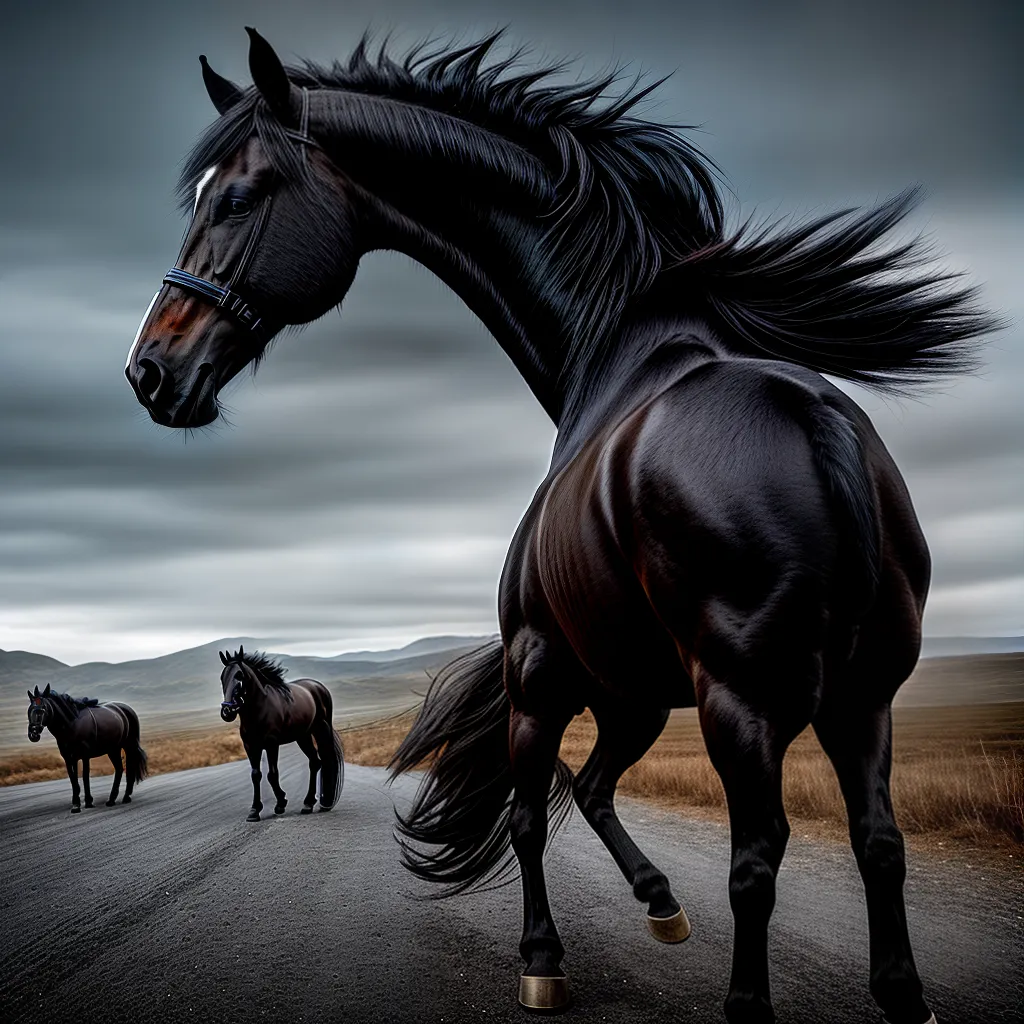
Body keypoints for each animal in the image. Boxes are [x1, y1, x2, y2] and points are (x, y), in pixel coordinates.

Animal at [218, 646, 344, 822]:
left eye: (240, 676)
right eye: (222, 677)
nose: (227, 711)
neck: (259, 710)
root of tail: (318, 687)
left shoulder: (272, 744)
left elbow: (272, 774)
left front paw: (280, 804)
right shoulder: (250, 747)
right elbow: (255, 775)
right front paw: (254, 811)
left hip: (320, 730)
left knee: (324, 760)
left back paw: (320, 803)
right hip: (303, 736)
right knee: (315, 762)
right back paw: (308, 803)